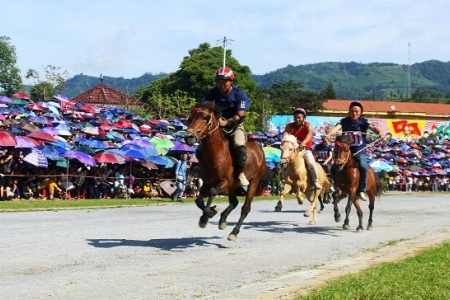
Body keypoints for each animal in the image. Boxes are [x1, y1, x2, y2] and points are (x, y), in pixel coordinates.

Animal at [184, 101, 266, 241]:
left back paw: (234, 232)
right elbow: (198, 200)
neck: (216, 154)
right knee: (234, 202)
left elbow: (212, 192)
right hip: (233, 187)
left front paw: (207, 215)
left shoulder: (224, 183)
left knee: (245, 208)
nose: (188, 137)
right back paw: (222, 220)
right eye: (191, 118)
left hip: (254, 182)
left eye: (205, 118)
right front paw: (212, 211)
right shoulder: (207, 183)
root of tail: (259, 148)